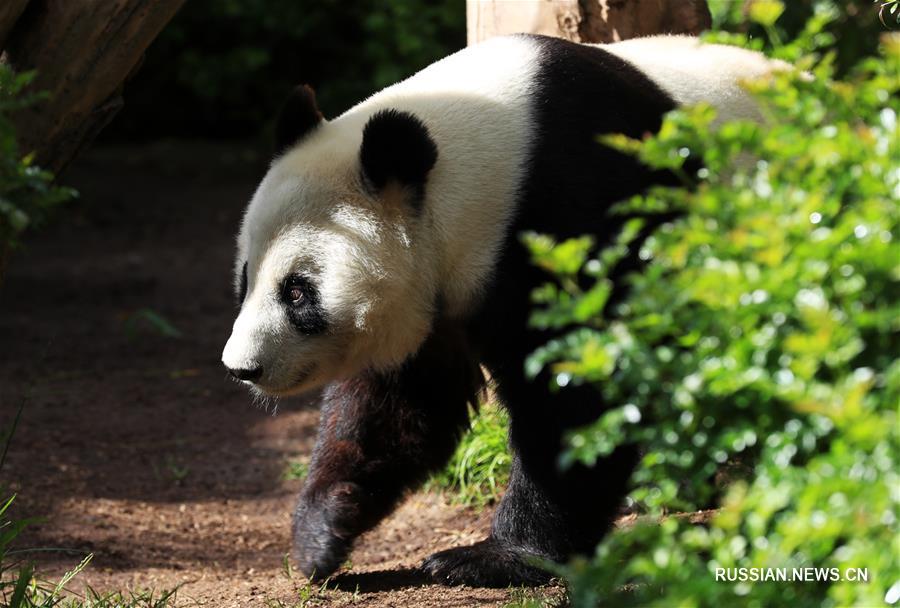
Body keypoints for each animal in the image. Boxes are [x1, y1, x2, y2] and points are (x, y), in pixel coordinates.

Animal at [220, 34, 788, 588]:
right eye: (246, 278)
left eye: (298, 292)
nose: (243, 368)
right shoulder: (436, 298)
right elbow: (397, 403)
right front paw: (321, 533)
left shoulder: (574, 212)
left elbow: (577, 391)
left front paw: (494, 557)